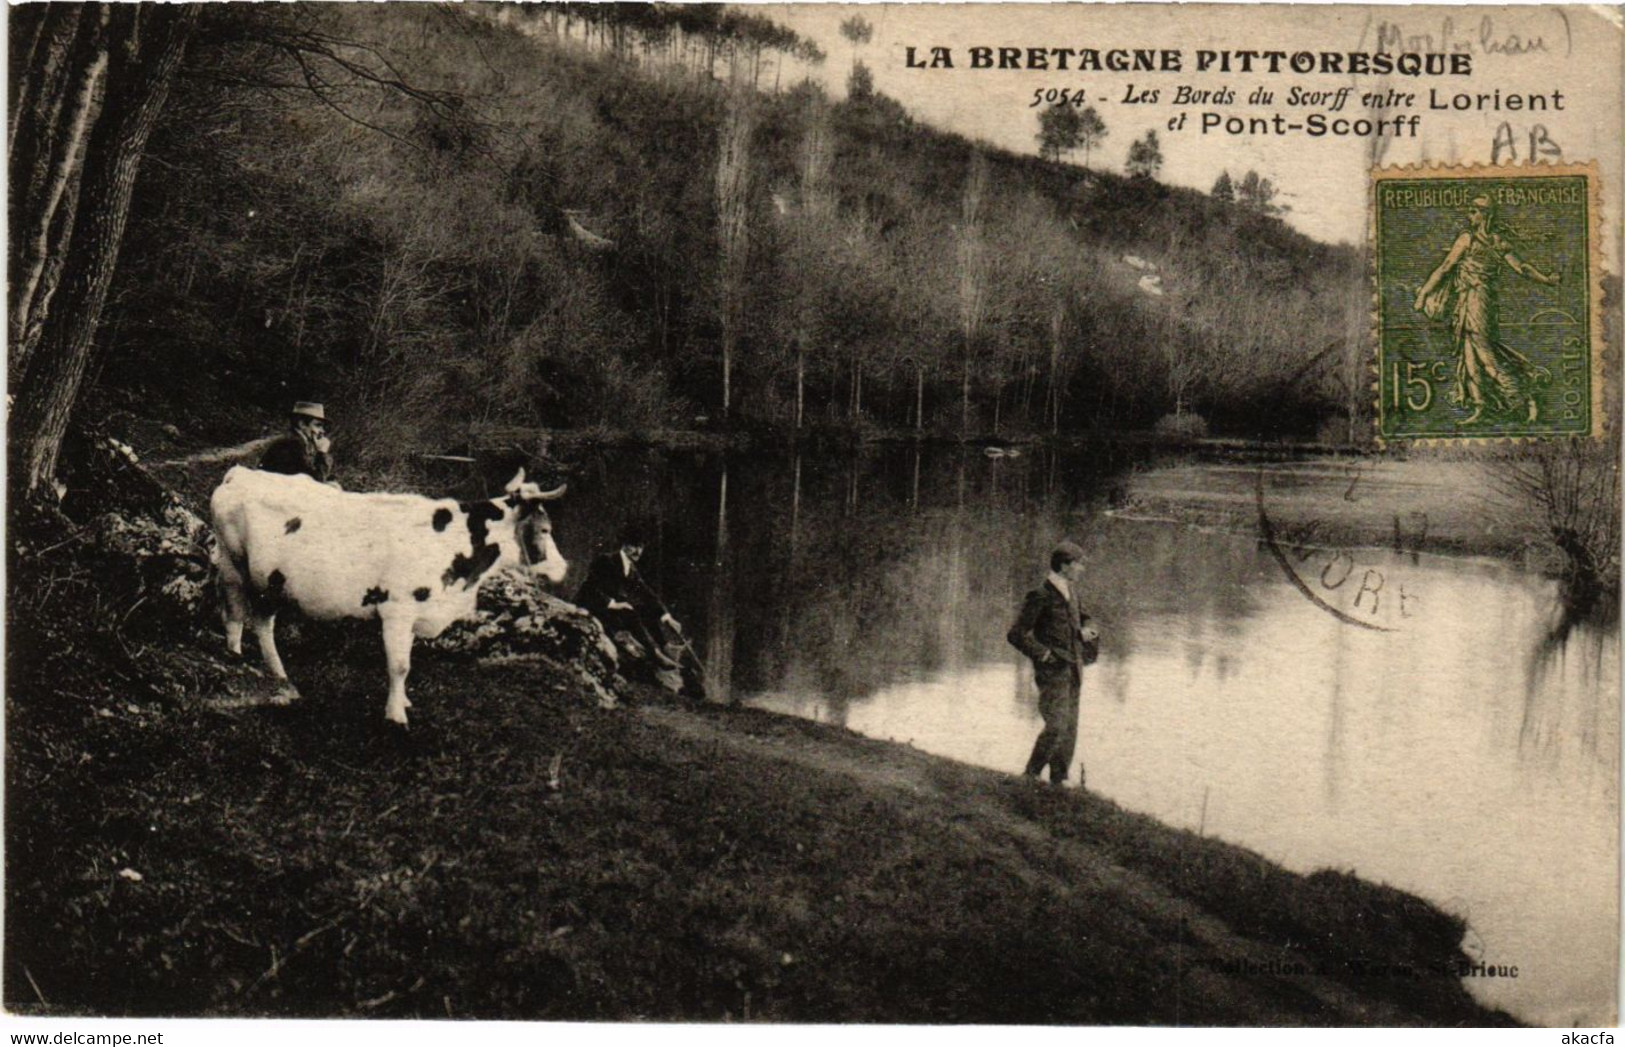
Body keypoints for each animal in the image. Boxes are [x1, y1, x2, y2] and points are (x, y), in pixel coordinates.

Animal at [209, 468, 568, 725]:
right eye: (546, 530)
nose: (564, 568)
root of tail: (240, 473)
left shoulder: (414, 613)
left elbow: (405, 658)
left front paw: (403, 700)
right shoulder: (398, 609)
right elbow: (399, 665)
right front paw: (396, 716)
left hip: (270, 583)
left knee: (261, 623)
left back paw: (278, 675)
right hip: (232, 567)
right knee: (235, 617)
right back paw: (237, 662)